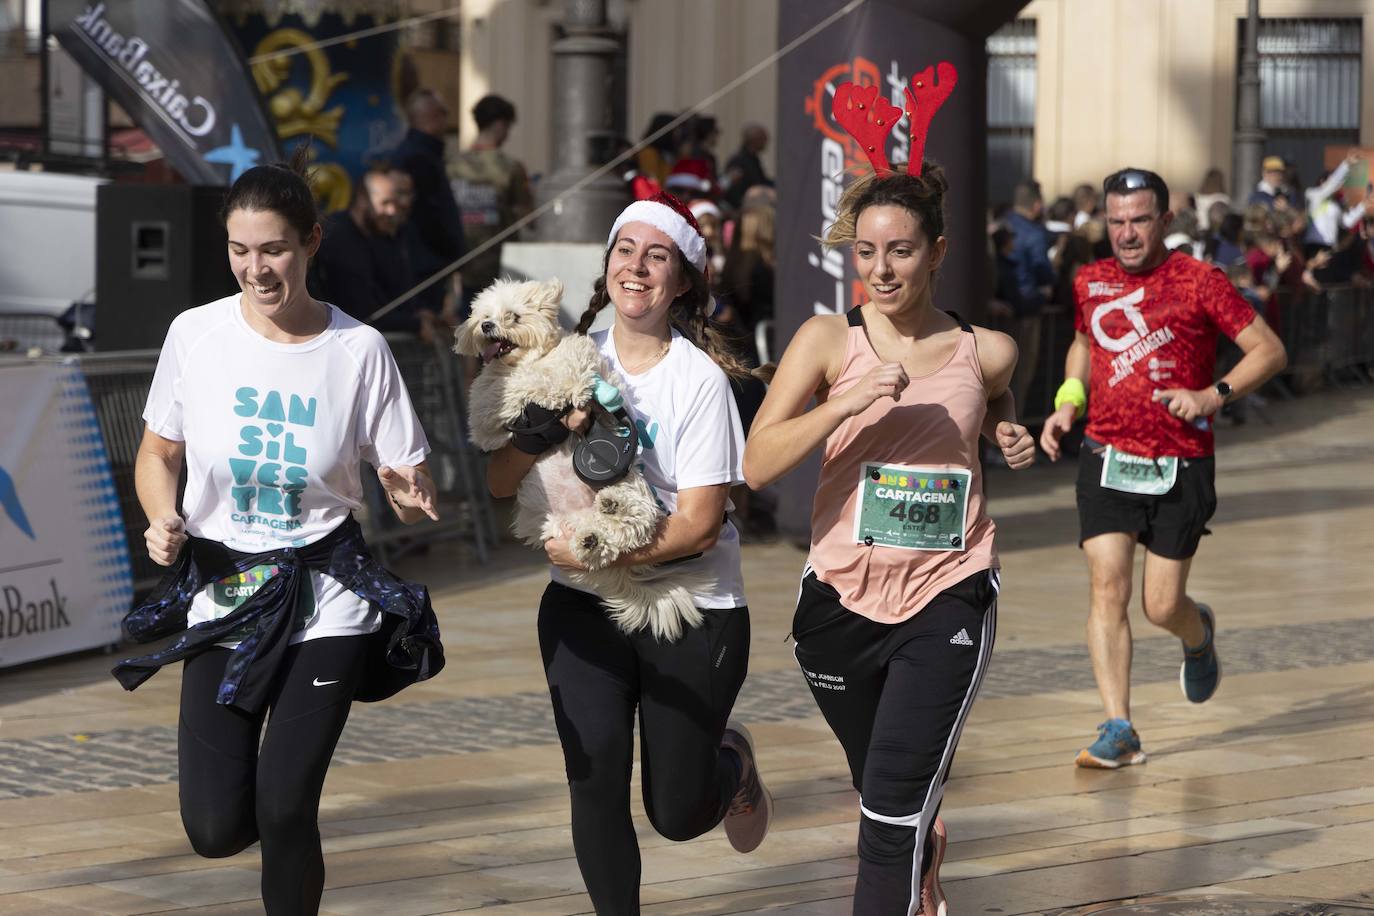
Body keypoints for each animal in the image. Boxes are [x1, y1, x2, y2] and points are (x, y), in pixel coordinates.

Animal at [458, 276, 703, 642]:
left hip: (630, 482)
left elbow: (562, 373)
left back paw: (611, 511)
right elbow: (493, 401)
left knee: (634, 526)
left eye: (513, 316)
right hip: (556, 525)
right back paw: (591, 540)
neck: (527, 360)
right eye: (483, 316)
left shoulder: (580, 362)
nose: (486, 326)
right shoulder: (485, 417)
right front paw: (519, 395)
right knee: (603, 542)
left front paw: (554, 389)